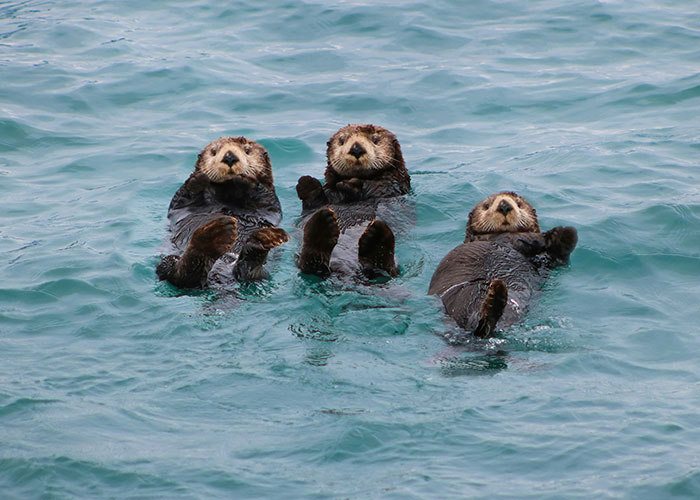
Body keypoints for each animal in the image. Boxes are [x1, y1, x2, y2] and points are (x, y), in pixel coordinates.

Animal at [157, 137, 289, 289]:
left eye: (247, 150)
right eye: (214, 151)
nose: (229, 157)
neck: (228, 192)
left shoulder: (270, 201)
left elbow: (266, 199)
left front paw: (246, 180)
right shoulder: (180, 204)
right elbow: (182, 198)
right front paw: (198, 179)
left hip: (263, 274)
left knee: (247, 273)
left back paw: (260, 241)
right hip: (168, 261)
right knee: (179, 275)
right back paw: (213, 236)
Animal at [295, 124, 411, 278]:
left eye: (375, 139)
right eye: (342, 140)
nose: (356, 148)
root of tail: (346, 269)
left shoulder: (391, 186)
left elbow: (377, 186)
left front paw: (349, 185)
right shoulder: (323, 199)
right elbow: (315, 201)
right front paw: (307, 183)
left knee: (386, 269)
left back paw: (377, 237)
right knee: (310, 264)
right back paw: (322, 225)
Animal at [429, 192, 577, 338]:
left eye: (519, 203)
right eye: (487, 205)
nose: (504, 206)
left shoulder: (545, 263)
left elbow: (558, 257)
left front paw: (562, 236)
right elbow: (525, 239)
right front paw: (555, 234)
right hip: (465, 297)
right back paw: (495, 297)